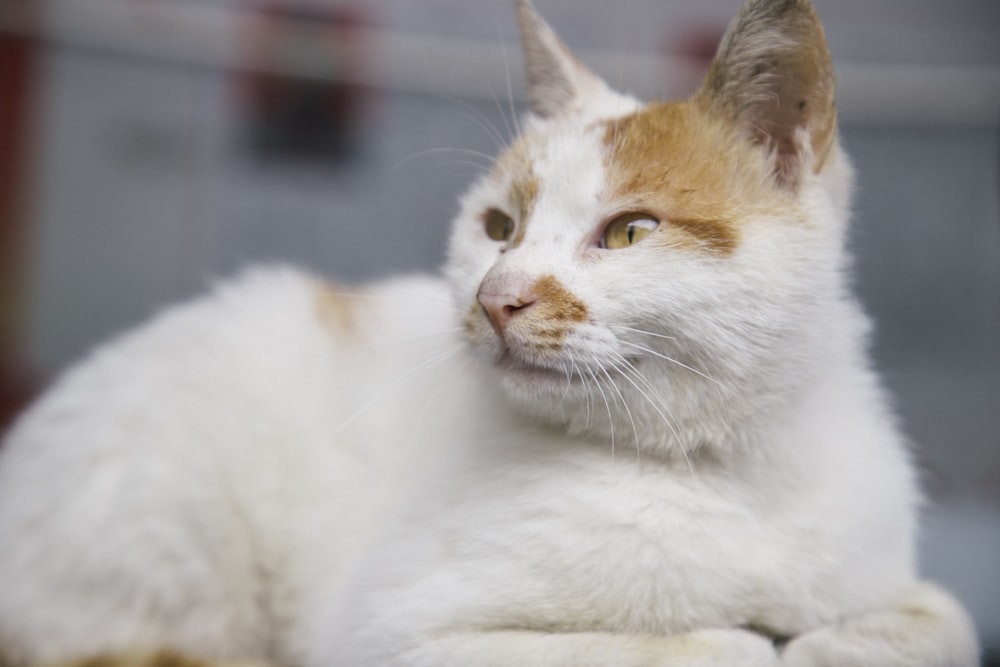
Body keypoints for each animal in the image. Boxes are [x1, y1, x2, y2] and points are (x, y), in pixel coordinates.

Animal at [0, 1, 976, 667]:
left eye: (630, 232)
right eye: (499, 227)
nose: (496, 296)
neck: (717, 464)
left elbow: (941, 620)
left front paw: (834, 635)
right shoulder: (395, 633)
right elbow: (680, 646)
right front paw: (750, 636)